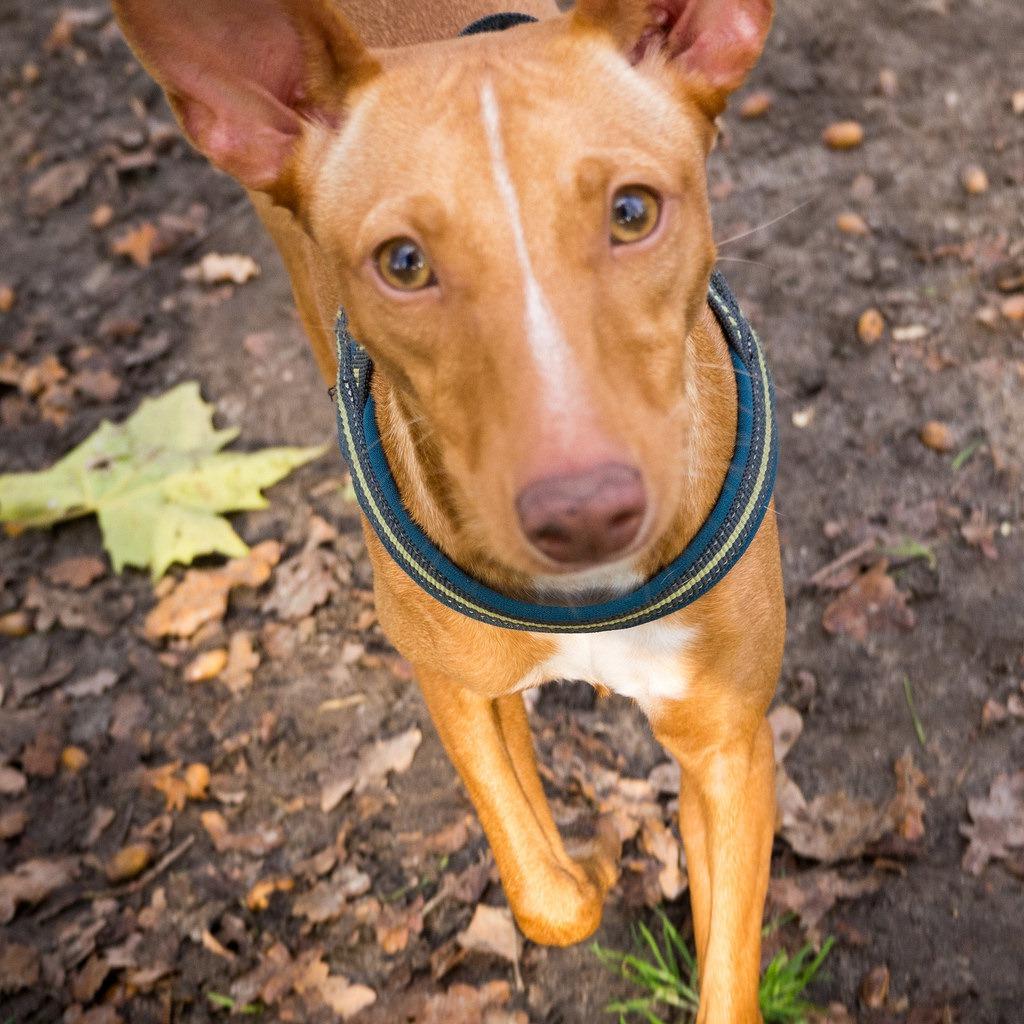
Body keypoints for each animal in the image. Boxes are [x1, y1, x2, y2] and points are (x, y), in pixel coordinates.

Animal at [114, 4, 782, 1019]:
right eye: (404, 262)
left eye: (632, 212)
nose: (586, 511)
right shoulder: (450, 683)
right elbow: (550, 895)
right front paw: (581, 867)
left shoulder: (730, 747)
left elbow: (727, 972)